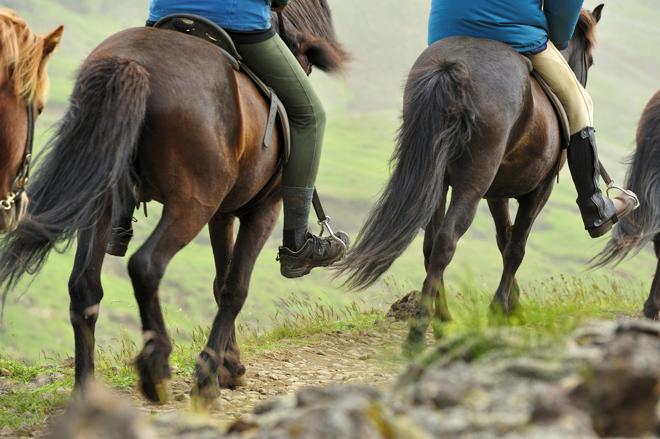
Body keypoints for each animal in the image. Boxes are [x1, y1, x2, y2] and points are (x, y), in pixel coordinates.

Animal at [338, 6, 604, 350]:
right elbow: (516, 248)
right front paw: (500, 311)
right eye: (591, 59)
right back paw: (419, 334)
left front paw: (512, 307)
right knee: (446, 242)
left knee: (431, 246)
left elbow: (504, 240)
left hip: (437, 184)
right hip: (472, 184)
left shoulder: (497, 193)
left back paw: (443, 324)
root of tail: (452, 67)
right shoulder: (538, 191)